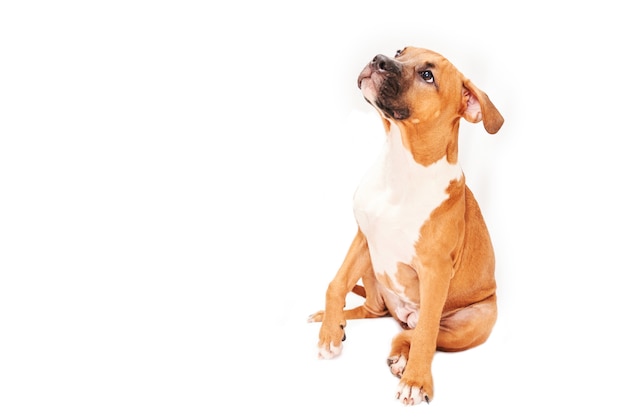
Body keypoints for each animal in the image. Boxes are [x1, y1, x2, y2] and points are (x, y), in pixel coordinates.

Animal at [308, 47, 502, 404]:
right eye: (401, 51)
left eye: (428, 75)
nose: (379, 59)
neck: (401, 166)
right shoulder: (363, 238)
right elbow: (336, 283)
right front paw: (329, 331)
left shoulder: (435, 272)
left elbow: (426, 334)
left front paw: (417, 381)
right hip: (373, 272)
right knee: (374, 311)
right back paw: (337, 321)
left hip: (472, 320)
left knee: (417, 333)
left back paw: (402, 360)